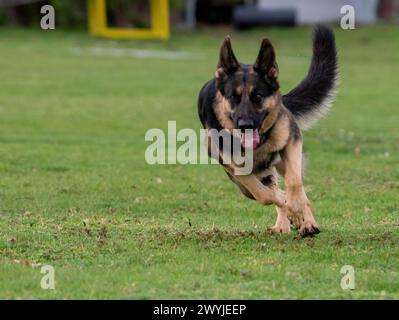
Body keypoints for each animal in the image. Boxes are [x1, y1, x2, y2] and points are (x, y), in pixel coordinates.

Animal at [198, 26, 340, 238]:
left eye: (258, 97)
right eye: (233, 97)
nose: (245, 125)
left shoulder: (292, 142)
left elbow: (294, 183)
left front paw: (298, 211)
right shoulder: (237, 170)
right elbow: (265, 195)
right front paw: (290, 209)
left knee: (298, 187)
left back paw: (307, 222)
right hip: (251, 180)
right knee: (271, 189)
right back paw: (286, 221)